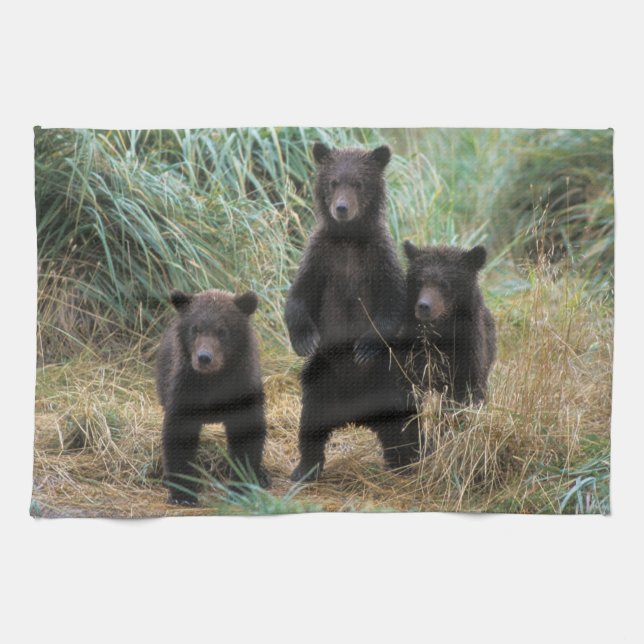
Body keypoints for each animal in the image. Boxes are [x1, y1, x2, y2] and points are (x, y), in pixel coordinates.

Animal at [156, 288, 270, 505]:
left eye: (222, 330)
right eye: (196, 328)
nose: (204, 358)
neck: (214, 379)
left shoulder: (241, 386)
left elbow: (247, 433)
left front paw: (241, 486)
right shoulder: (186, 388)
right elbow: (179, 434)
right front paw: (182, 494)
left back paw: (263, 476)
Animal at [285, 142, 420, 481]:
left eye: (358, 183)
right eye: (334, 182)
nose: (342, 208)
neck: (348, 237)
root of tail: (357, 415)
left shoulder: (378, 258)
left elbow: (393, 304)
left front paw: (364, 346)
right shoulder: (321, 257)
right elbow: (299, 296)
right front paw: (304, 339)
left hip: (389, 379)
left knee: (406, 423)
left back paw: (411, 460)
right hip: (321, 381)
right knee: (310, 424)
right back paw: (304, 468)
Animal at [400, 241, 497, 405]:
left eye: (444, 284)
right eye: (419, 282)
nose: (423, 306)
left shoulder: (468, 350)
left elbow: (468, 390)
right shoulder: (415, 354)